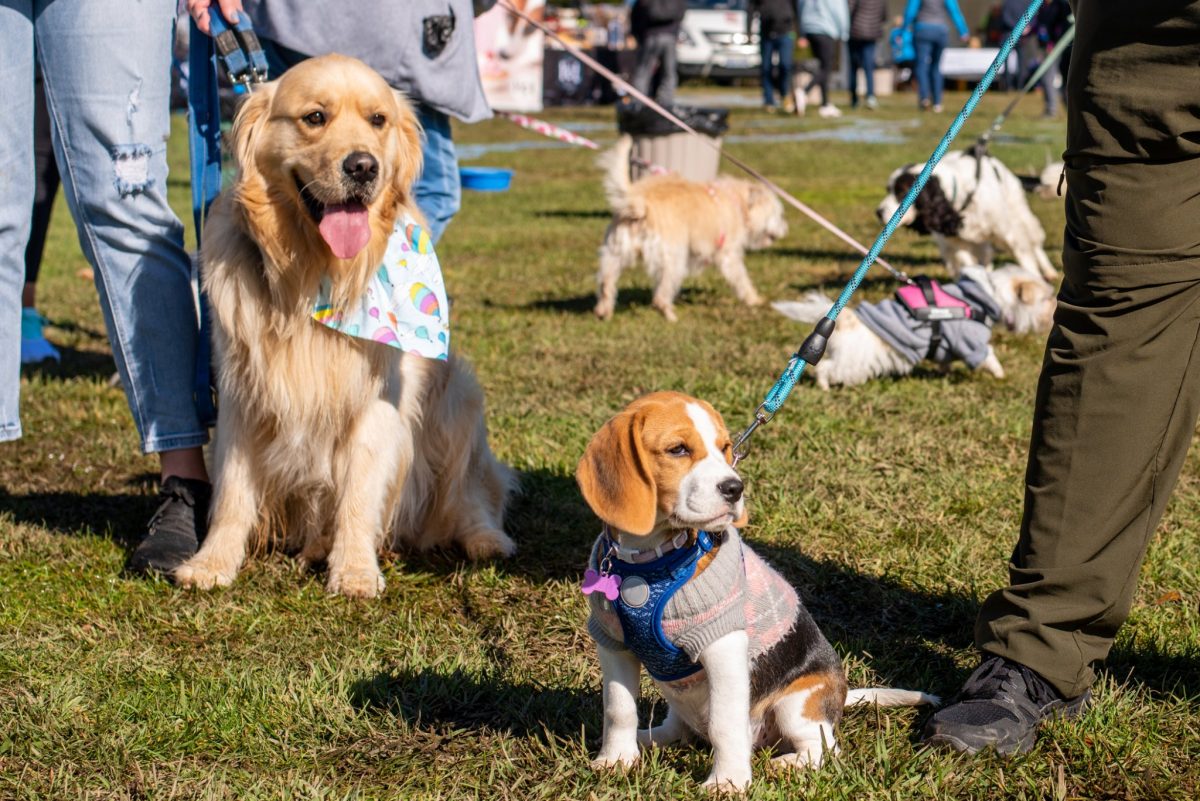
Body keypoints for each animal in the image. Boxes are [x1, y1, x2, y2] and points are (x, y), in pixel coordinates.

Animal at [592, 136, 787, 321]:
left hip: (614, 254)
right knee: (660, 297)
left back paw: (604, 312)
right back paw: (670, 315)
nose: (786, 228)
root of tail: (640, 205)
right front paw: (754, 300)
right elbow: (741, 278)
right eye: (777, 213)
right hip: (673, 259)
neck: (738, 203)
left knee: (606, 284)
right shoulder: (728, 254)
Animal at [772, 263, 1056, 388]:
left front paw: (944, 372)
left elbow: (945, 359)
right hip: (852, 362)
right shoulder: (970, 340)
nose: (1054, 307)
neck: (985, 295)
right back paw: (824, 386)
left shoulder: (947, 346)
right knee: (826, 369)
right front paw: (1000, 374)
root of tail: (845, 318)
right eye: (1045, 298)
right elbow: (989, 356)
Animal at [873, 148, 1060, 282]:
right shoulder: (955, 241)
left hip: (1017, 210)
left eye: (902, 192)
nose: (878, 212)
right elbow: (968, 264)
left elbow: (1024, 258)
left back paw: (1049, 271)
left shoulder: (1008, 233)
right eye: (888, 190)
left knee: (1033, 241)